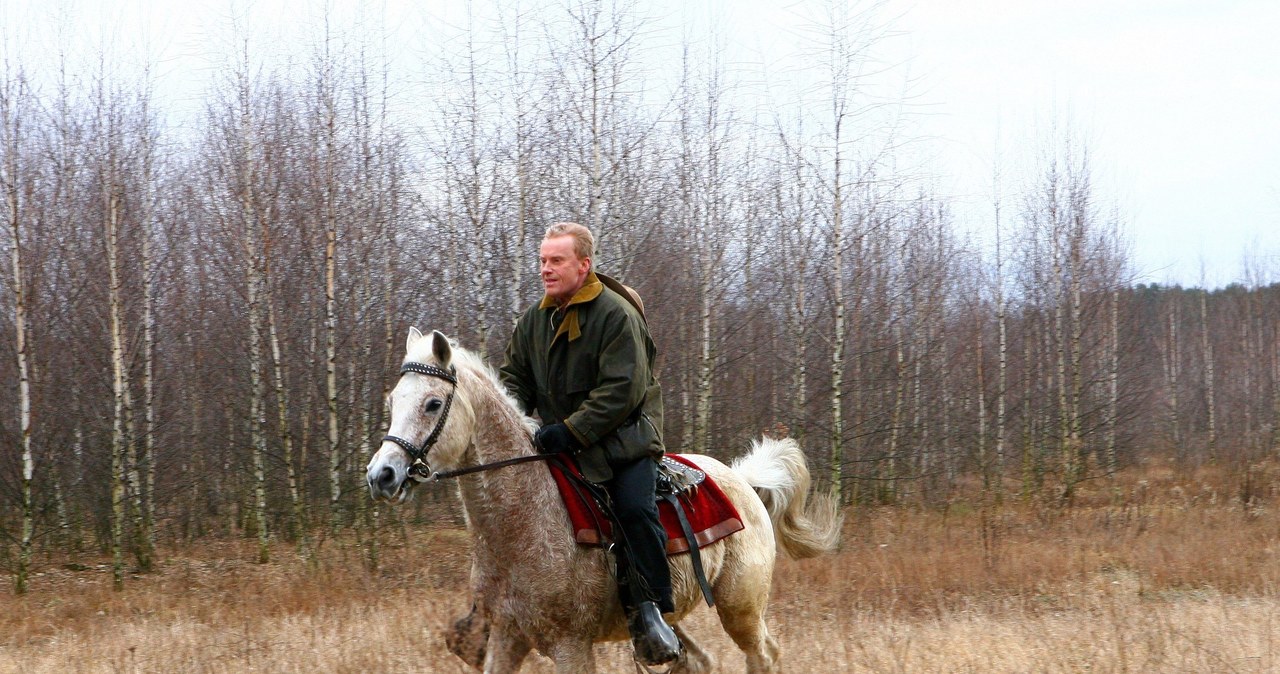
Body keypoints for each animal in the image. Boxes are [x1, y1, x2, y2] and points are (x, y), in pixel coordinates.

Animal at [366, 327, 844, 674]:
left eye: (432, 403)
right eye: (393, 401)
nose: (382, 475)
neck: (522, 521)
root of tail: (742, 481)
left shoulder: (571, 646)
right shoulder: (507, 637)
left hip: (740, 608)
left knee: (764, 655)